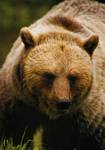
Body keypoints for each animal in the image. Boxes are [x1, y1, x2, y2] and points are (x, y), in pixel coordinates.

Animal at [0, 0, 105, 149]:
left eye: (73, 77)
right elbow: (13, 132)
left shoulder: (84, 114)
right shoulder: (18, 99)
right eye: (48, 75)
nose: (62, 102)